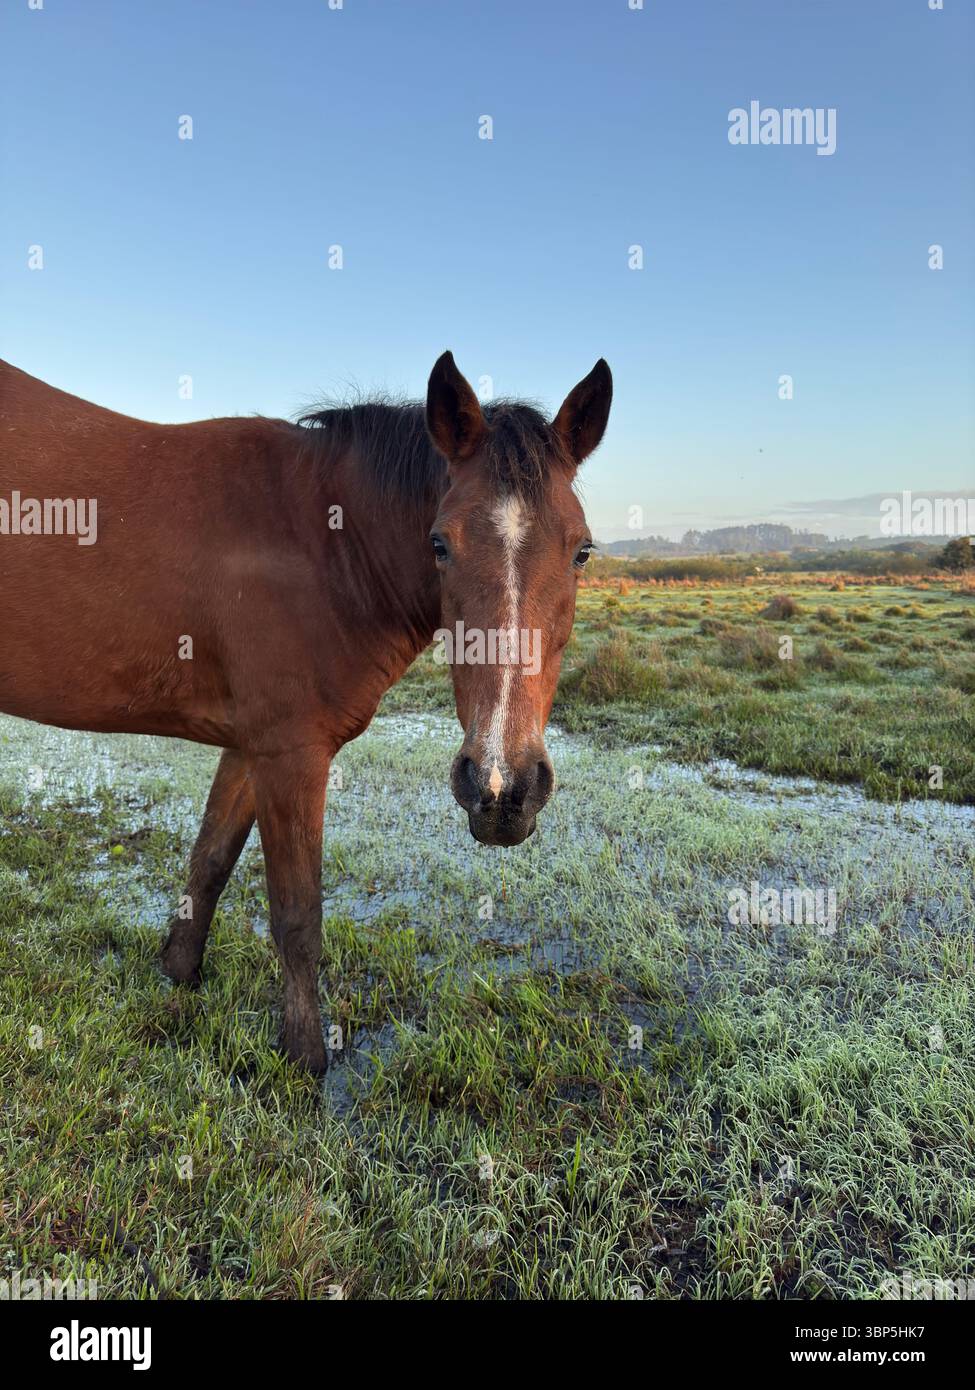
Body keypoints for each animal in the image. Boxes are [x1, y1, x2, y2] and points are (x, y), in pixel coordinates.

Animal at [0, 351, 612, 1071]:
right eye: (439, 544)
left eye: (581, 550)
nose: (500, 790)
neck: (325, 547)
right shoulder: (291, 754)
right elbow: (298, 916)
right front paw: (304, 1058)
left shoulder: (249, 746)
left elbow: (209, 863)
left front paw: (178, 975)